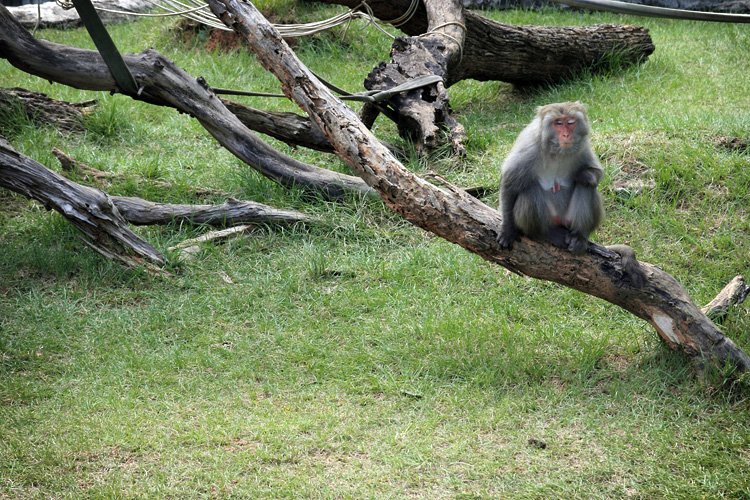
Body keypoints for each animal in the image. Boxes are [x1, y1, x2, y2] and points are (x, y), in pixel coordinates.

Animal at [500, 101, 648, 288]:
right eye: (558, 123)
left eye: (570, 122)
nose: (566, 134)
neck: (556, 151)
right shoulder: (528, 148)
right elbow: (509, 185)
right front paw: (507, 230)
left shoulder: (583, 147)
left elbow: (595, 173)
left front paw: (584, 175)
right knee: (529, 190)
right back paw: (545, 233)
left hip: (568, 220)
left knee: (587, 188)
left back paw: (579, 237)